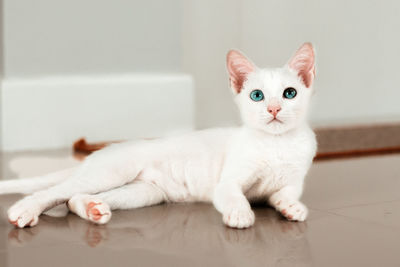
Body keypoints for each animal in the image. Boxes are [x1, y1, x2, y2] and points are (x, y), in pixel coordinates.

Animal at [1, 43, 318, 229]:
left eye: (289, 93)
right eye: (257, 96)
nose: (274, 108)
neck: (277, 144)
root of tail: (97, 155)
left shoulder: (289, 185)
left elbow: (283, 196)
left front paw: (293, 209)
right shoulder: (228, 184)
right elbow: (235, 197)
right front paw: (241, 215)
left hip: (142, 193)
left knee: (73, 198)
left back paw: (92, 210)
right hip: (111, 174)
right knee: (53, 192)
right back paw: (24, 210)